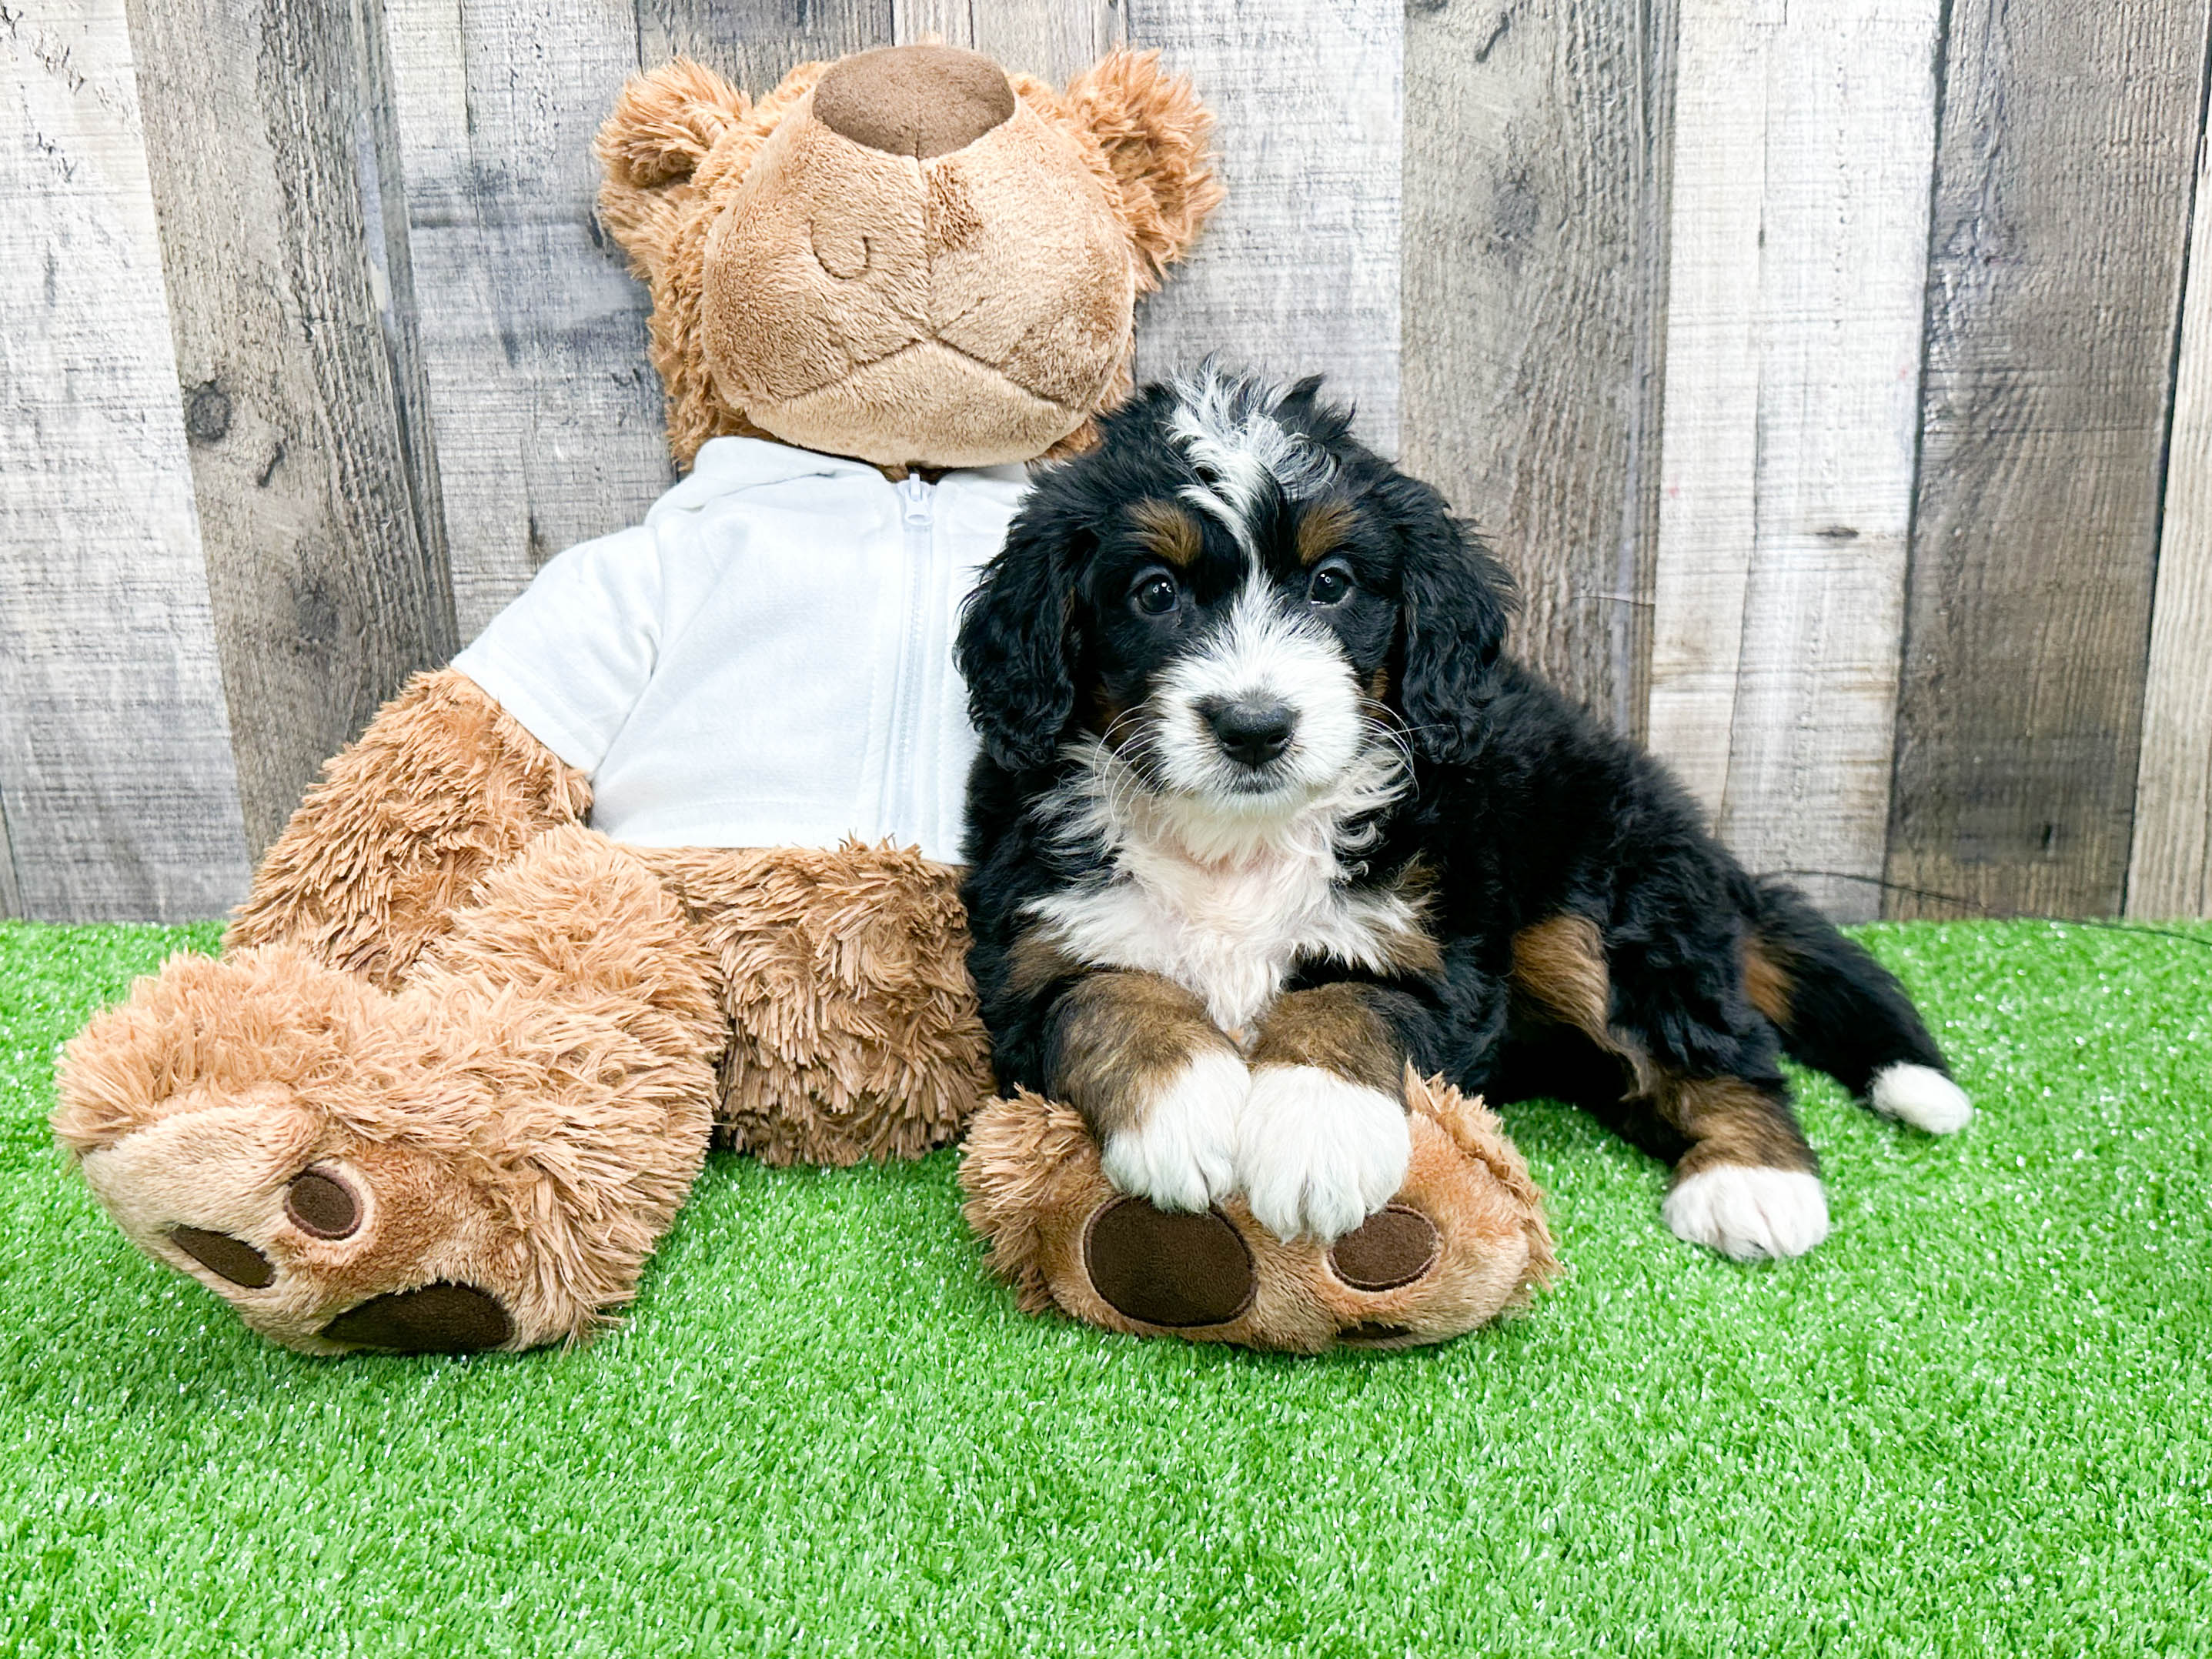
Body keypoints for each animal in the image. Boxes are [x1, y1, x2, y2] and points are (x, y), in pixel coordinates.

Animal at [951, 369, 1973, 1256]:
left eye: (1331, 582)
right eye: (1154, 592)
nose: (1254, 727)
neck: (1238, 842)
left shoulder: (1435, 941)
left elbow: (1351, 1002)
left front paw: (1317, 1135)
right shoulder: (1031, 941)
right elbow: (1110, 993)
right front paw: (1186, 1107)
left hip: (1601, 905)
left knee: (1719, 1043)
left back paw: (1754, 1179)